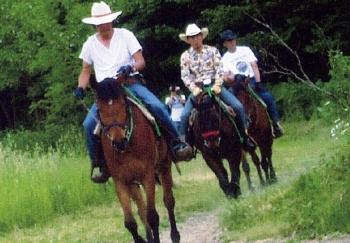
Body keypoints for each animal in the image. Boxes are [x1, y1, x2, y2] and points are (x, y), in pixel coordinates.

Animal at [90, 74, 180, 243]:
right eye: (99, 109)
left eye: (123, 104)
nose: (119, 141)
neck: (128, 146)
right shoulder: (121, 181)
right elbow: (131, 222)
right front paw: (143, 239)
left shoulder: (148, 176)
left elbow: (153, 216)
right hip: (133, 182)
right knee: (141, 210)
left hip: (164, 166)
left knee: (169, 201)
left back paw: (175, 235)